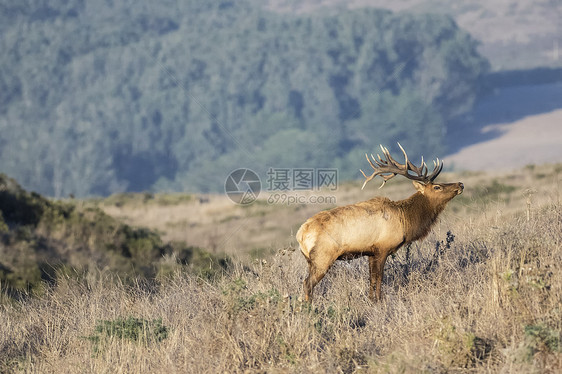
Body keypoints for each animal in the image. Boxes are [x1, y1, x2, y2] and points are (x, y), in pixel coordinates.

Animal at [296, 143, 462, 300]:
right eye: (437, 187)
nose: (460, 184)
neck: (406, 220)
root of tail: (301, 234)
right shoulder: (383, 248)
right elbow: (379, 278)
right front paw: (379, 301)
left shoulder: (370, 252)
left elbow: (371, 279)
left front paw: (370, 300)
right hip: (323, 257)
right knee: (307, 284)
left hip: (311, 260)